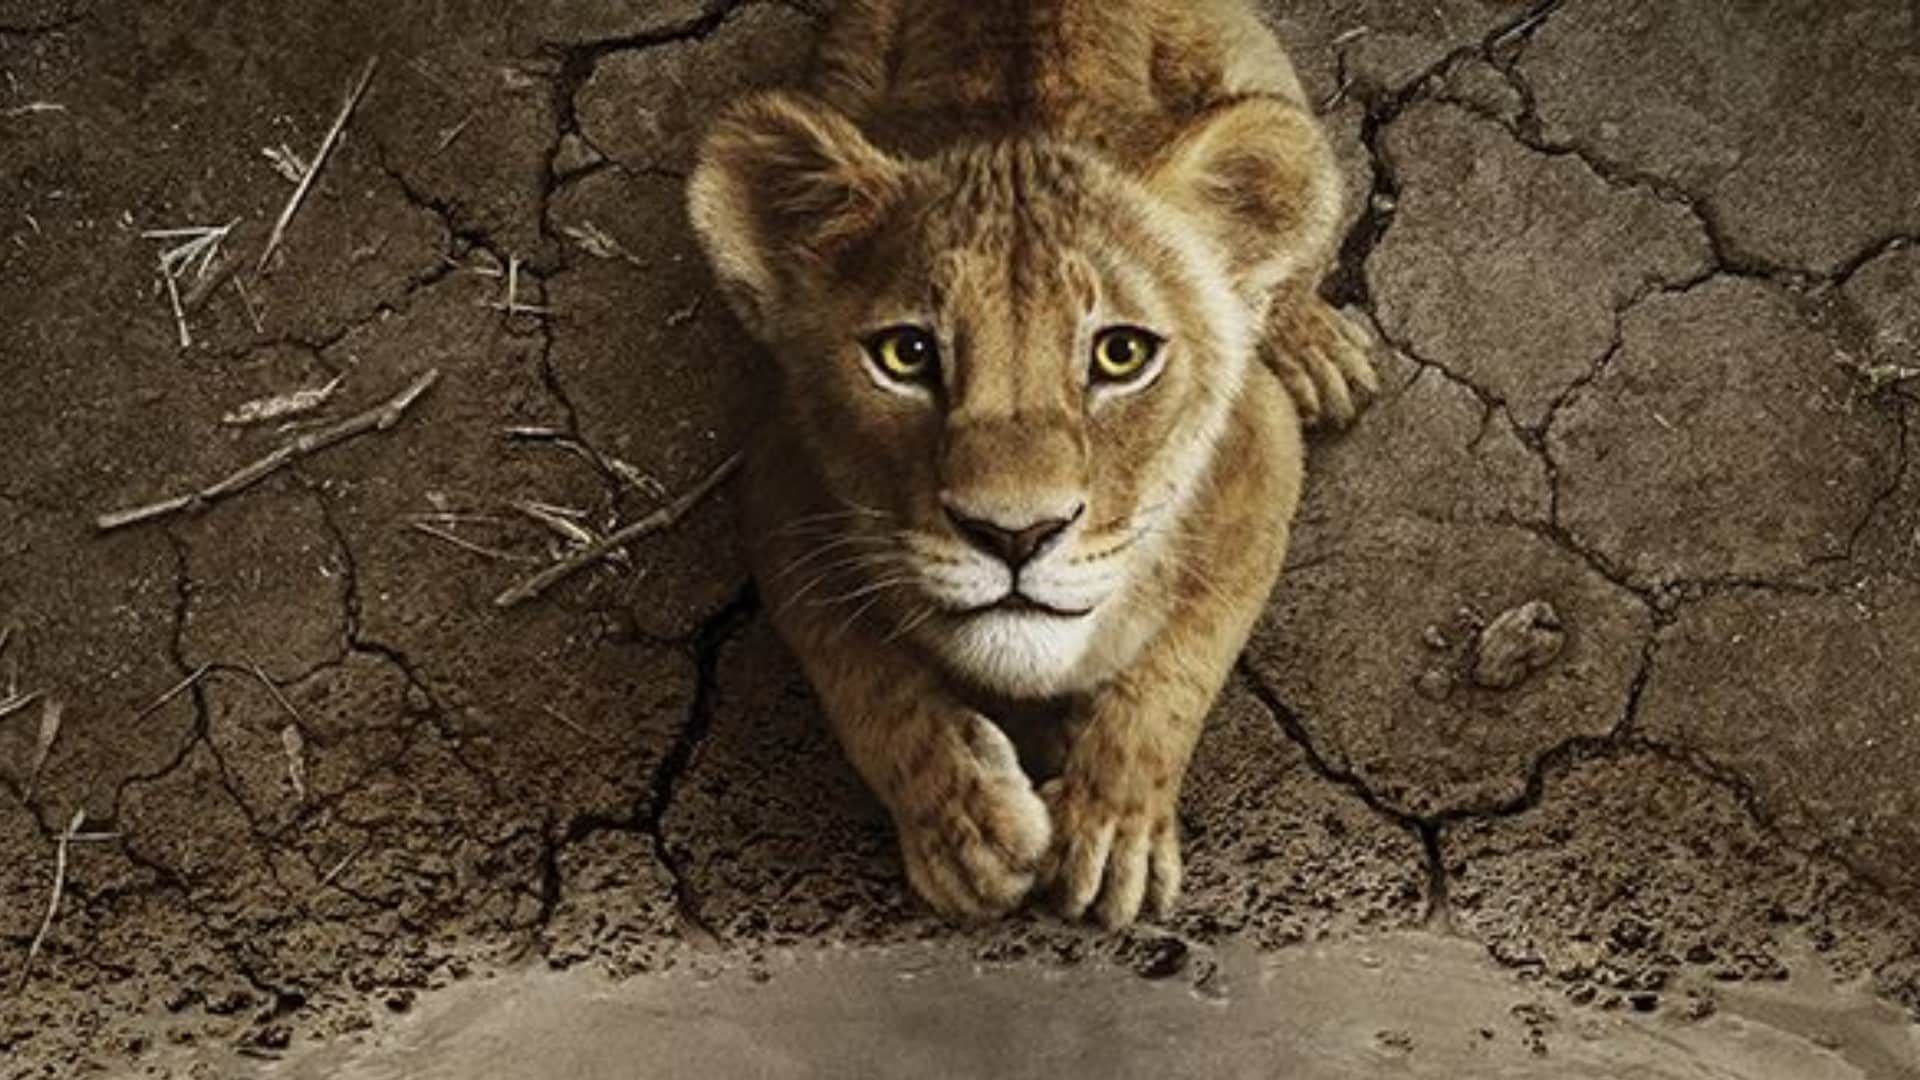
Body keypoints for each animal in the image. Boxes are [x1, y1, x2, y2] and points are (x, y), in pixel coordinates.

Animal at [687, 0, 1376, 928]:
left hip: (1260, 80)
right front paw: (964, 826)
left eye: (1122, 354)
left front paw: (1113, 827)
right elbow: (859, 672)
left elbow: (1182, 661)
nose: (1015, 536)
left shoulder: (1259, 450)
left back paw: (1315, 348)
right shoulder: (778, 479)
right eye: (906, 355)